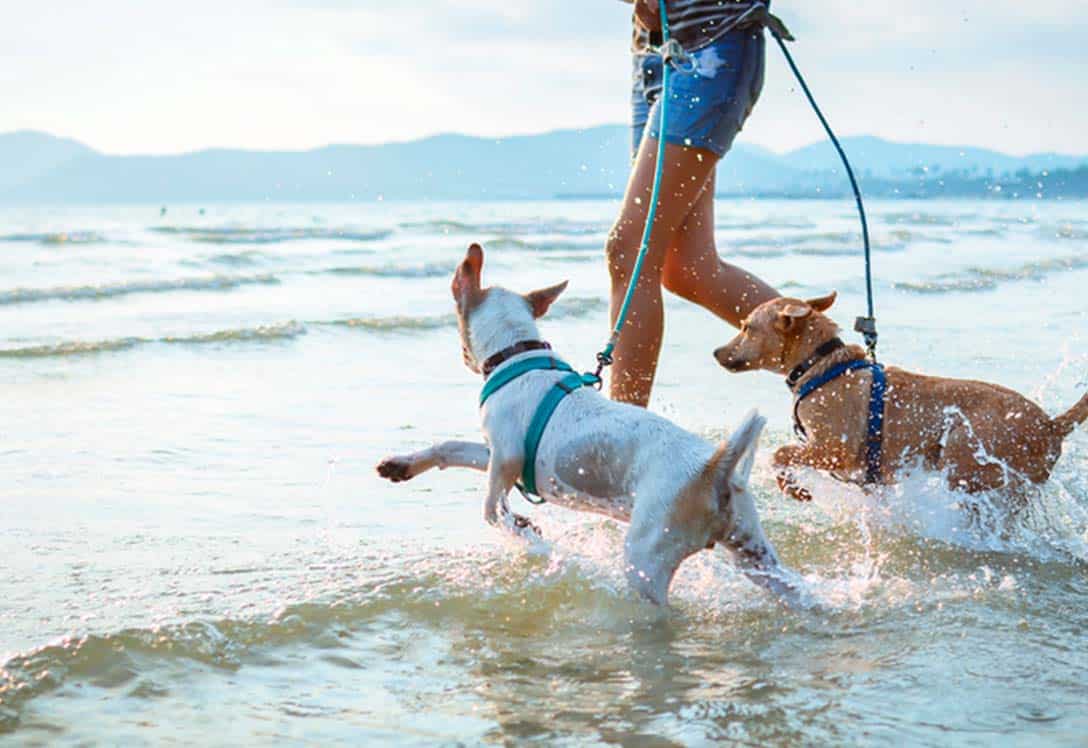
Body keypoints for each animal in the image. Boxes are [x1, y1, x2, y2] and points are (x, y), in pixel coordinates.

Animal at [376, 245, 800, 608]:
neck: (518, 354)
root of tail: (715, 469)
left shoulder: (506, 457)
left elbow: (492, 509)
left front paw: (524, 531)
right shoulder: (496, 453)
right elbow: (451, 448)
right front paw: (402, 465)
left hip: (647, 558)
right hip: (756, 555)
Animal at [713, 295, 1088, 500]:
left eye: (747, 327)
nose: (716, 352)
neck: (820, 364)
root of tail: (1051, 425)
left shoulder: (834, 450)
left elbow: (781, 454)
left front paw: (795, 489)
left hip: (964, 454)